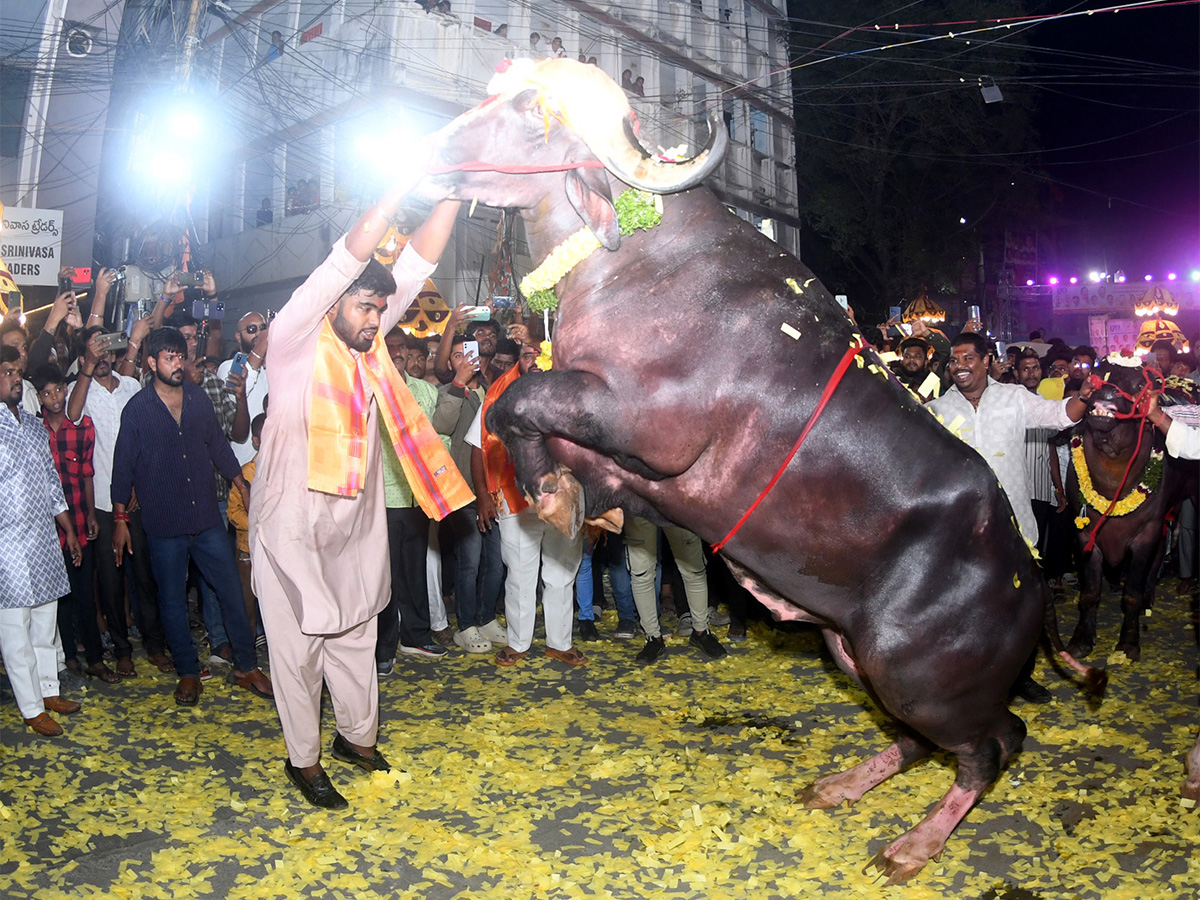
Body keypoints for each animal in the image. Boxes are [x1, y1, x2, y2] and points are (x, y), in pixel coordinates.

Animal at [417, 60, 1099, 883]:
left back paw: (913, 846)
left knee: (994, 742)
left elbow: (518, 398)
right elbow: (528, 427)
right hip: (856, 652)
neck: (628, 262)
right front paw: (570, 499)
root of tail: (1030, 575)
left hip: (919, 672)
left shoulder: (652, 426)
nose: (427, 154)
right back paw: (843, 786)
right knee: (919, 740)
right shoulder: (622, 453)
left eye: (528, 114)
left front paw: (550, 497)